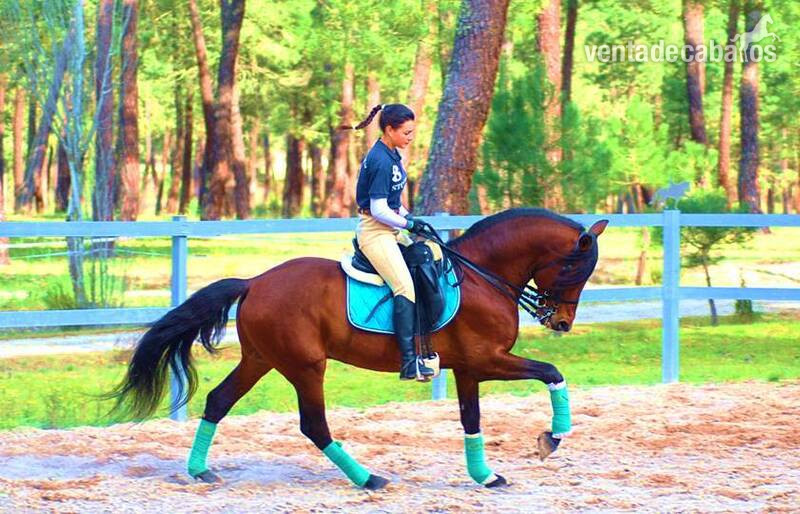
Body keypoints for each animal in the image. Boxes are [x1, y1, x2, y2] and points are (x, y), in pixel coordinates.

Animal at [108, 208, 608, 489]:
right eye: (574, 270)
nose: (561, 323)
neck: (481, 276)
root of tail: (254, 282)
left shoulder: (469, 368)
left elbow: (472, 422)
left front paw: (485, 476)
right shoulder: (489, 361)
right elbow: (552, 372)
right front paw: (551, 439)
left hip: (262, 359)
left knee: (218, 401)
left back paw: (200, 471)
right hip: (306, 365)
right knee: (314, 425)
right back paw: (368, 479)